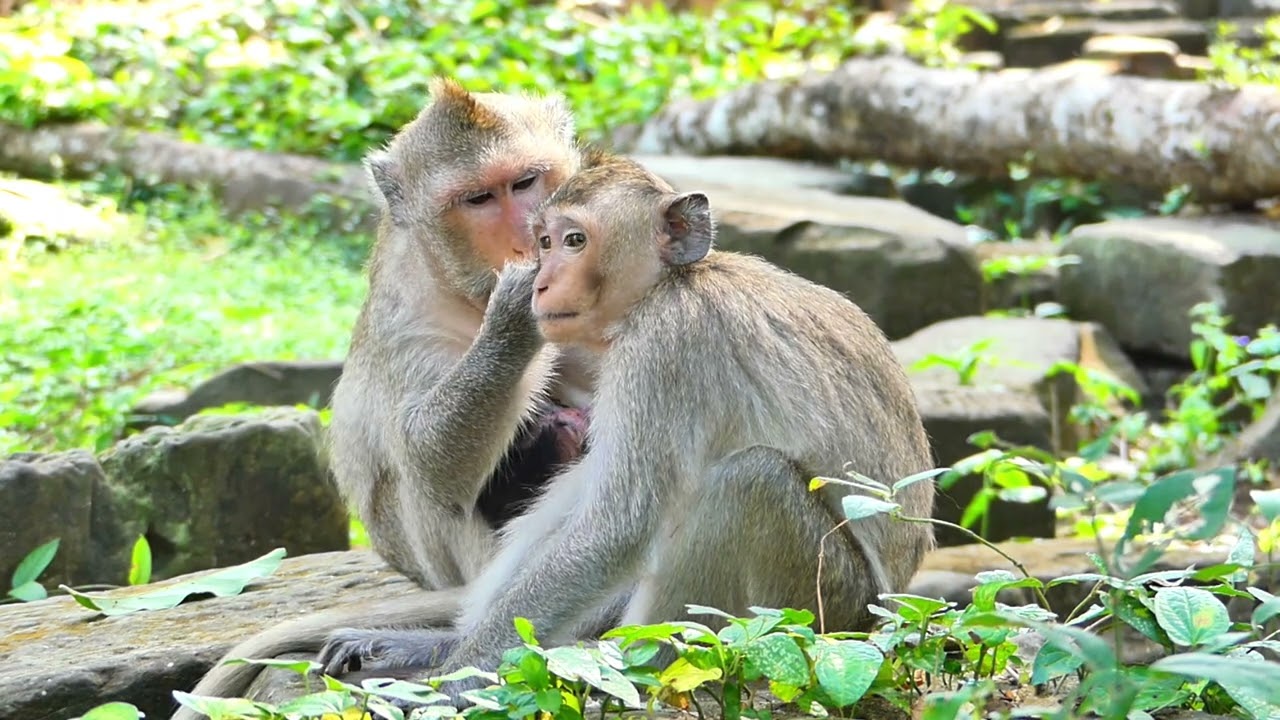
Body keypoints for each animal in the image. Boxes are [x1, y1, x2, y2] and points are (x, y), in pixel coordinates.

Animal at [172, 81, 602, 718]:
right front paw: (515, 315)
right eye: (479, 198)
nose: (536, 237)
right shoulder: (407, 312)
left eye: (526, 182)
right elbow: (427, 458)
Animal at [314, 154, 937, 702]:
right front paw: (449, 654)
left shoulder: (666, 344)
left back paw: (628, 664)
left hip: (820, 611)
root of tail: (885, 618)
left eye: (574, 241)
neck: (670, 283)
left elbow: (618, 527)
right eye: (545, 243)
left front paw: (455, 681)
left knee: (747, 481)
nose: (540, 283)